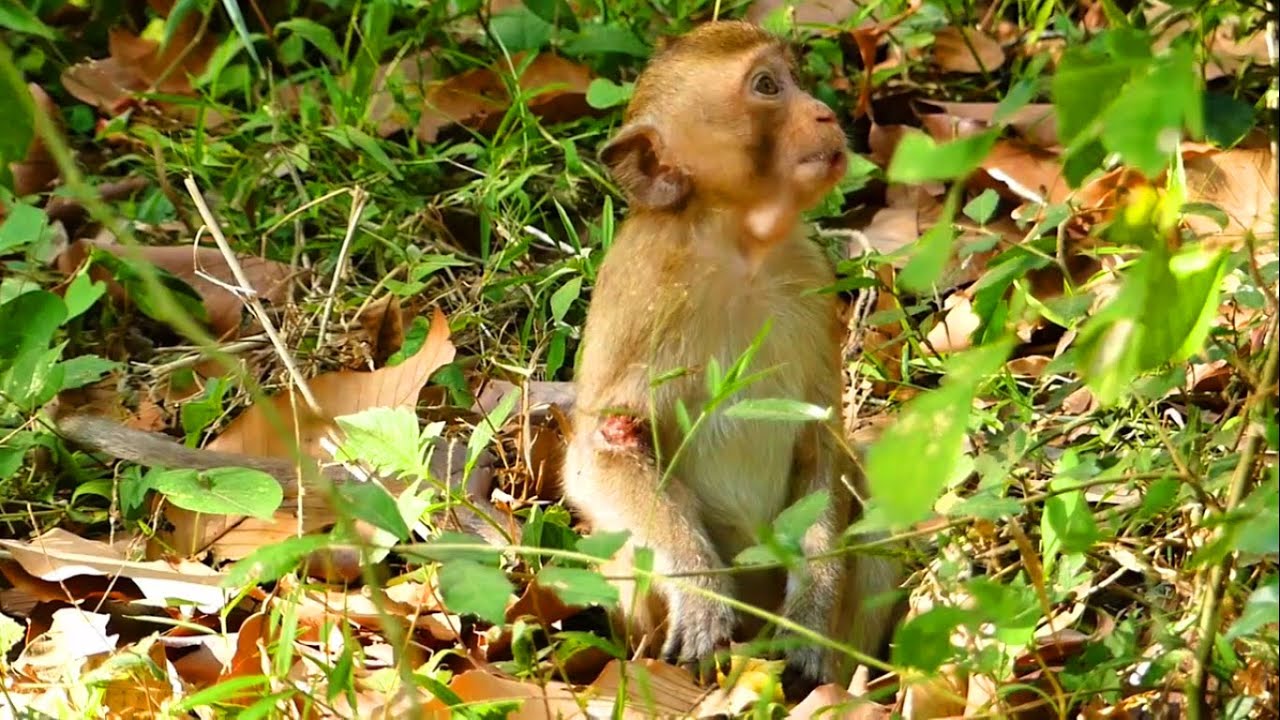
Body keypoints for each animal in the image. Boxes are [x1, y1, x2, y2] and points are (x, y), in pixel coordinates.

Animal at [561, 20, 902, 697]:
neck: (736, 243)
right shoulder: (639, 292)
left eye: (793, 77)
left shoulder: (809, 275)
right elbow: (601, 454)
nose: (824, 112)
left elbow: (821, 445)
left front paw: (813, 609)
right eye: (768, 87)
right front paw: (702, 593)